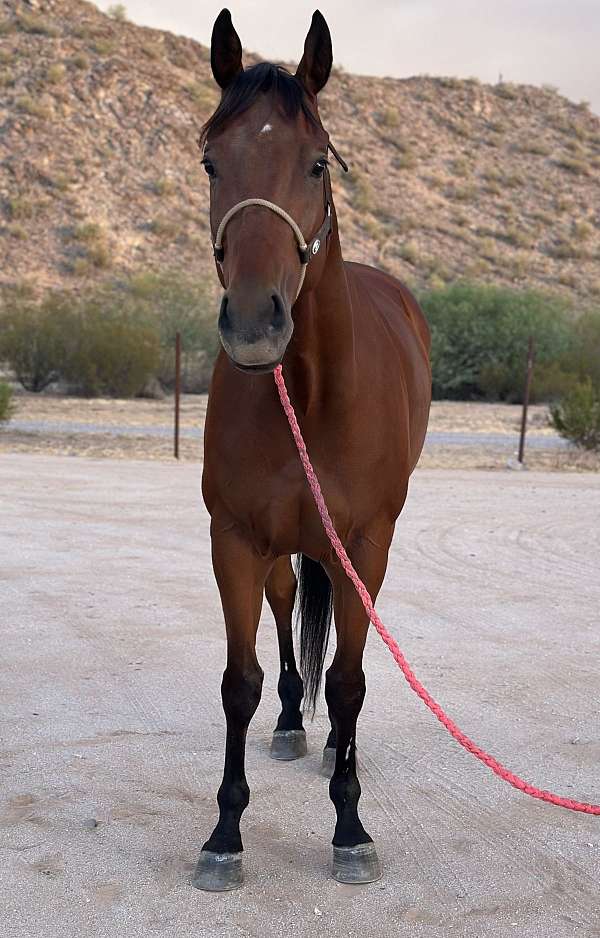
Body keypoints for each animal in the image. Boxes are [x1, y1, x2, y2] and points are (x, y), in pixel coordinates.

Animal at [193, 8, 431, 891]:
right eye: (211, 160)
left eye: (318, 161)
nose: (254, 324)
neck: (312, 388)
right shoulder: (234, 539)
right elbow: (241, 682)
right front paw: (225, 833)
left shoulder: (365, 542)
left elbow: (353, 681)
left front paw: (351, 825)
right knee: (289, 603)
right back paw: (298, 723)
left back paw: (333, 745)